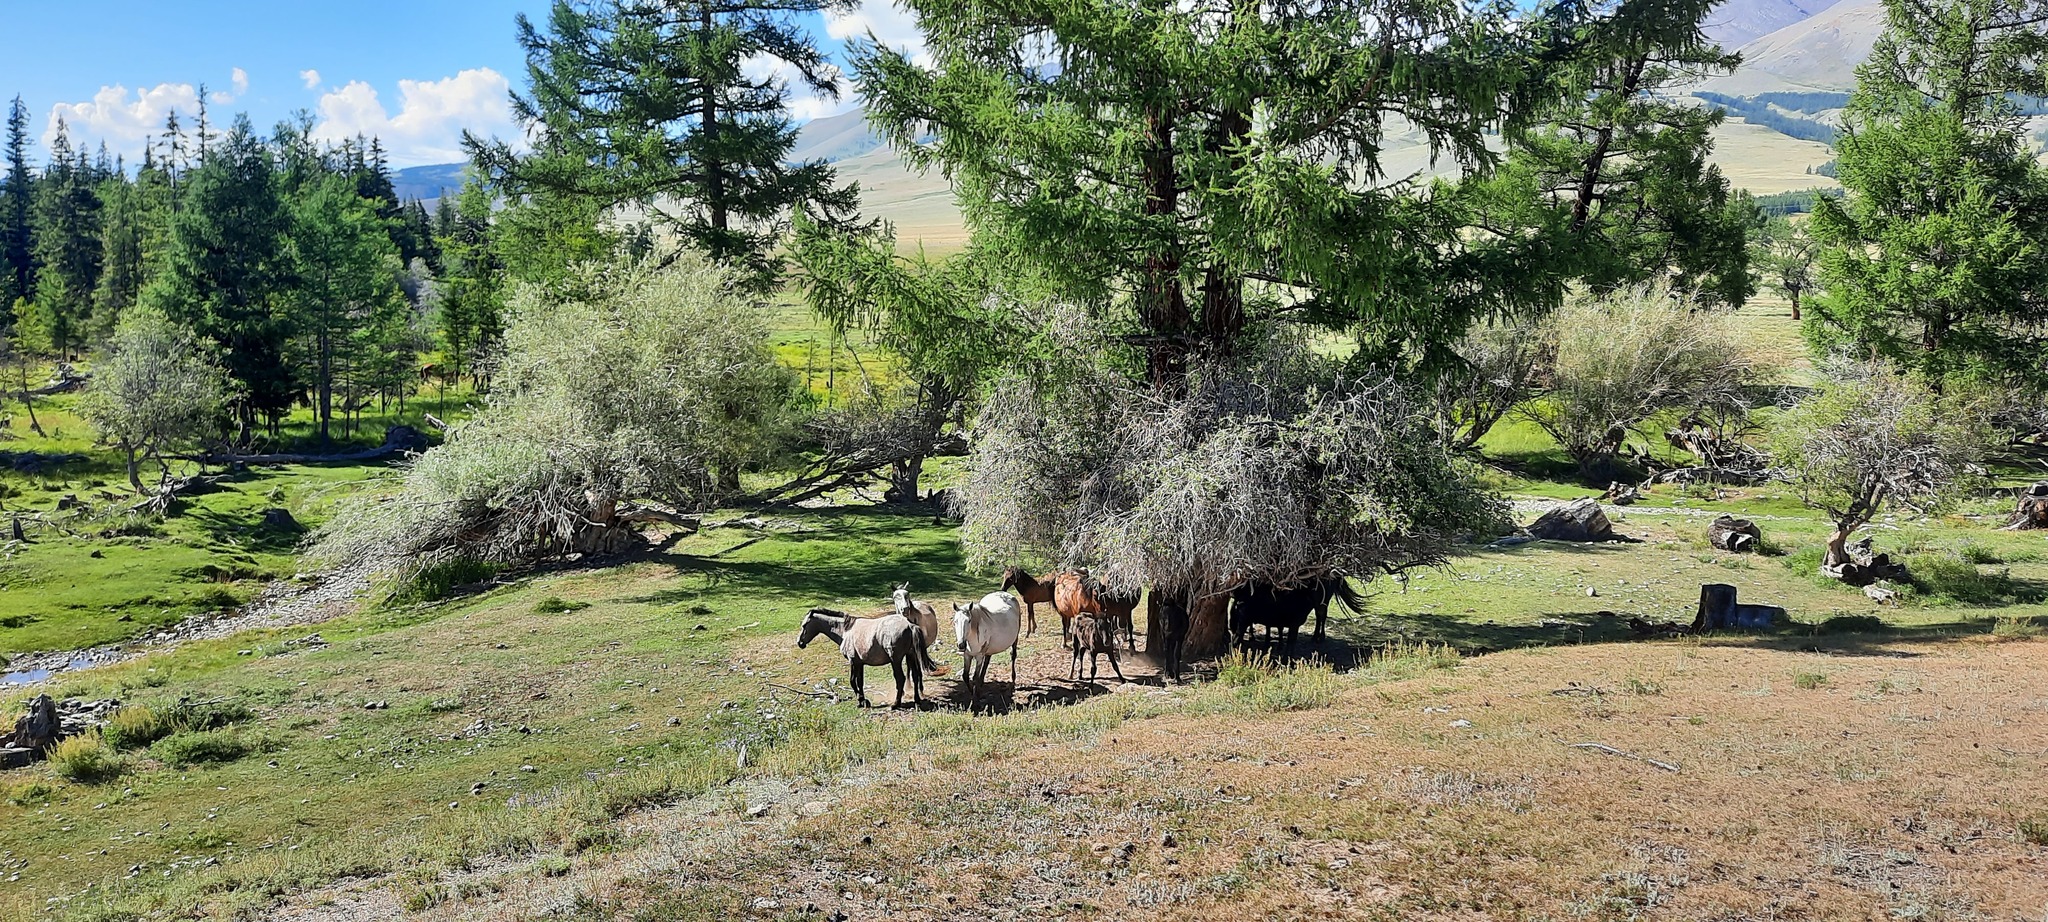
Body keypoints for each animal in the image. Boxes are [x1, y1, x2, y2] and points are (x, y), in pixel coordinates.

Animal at [794, 610, 937, 708]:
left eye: (804, 625)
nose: (800, 643)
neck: (845, 631)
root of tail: (909, 625)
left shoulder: (853, 662)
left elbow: (852, 681)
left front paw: (860, 701)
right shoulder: (860, 663)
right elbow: (860, 682)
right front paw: (864, 701)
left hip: (896, 660)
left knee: (900, 679)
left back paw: (895, 704)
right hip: (910, 655)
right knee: (915, 676)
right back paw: (917, 700)